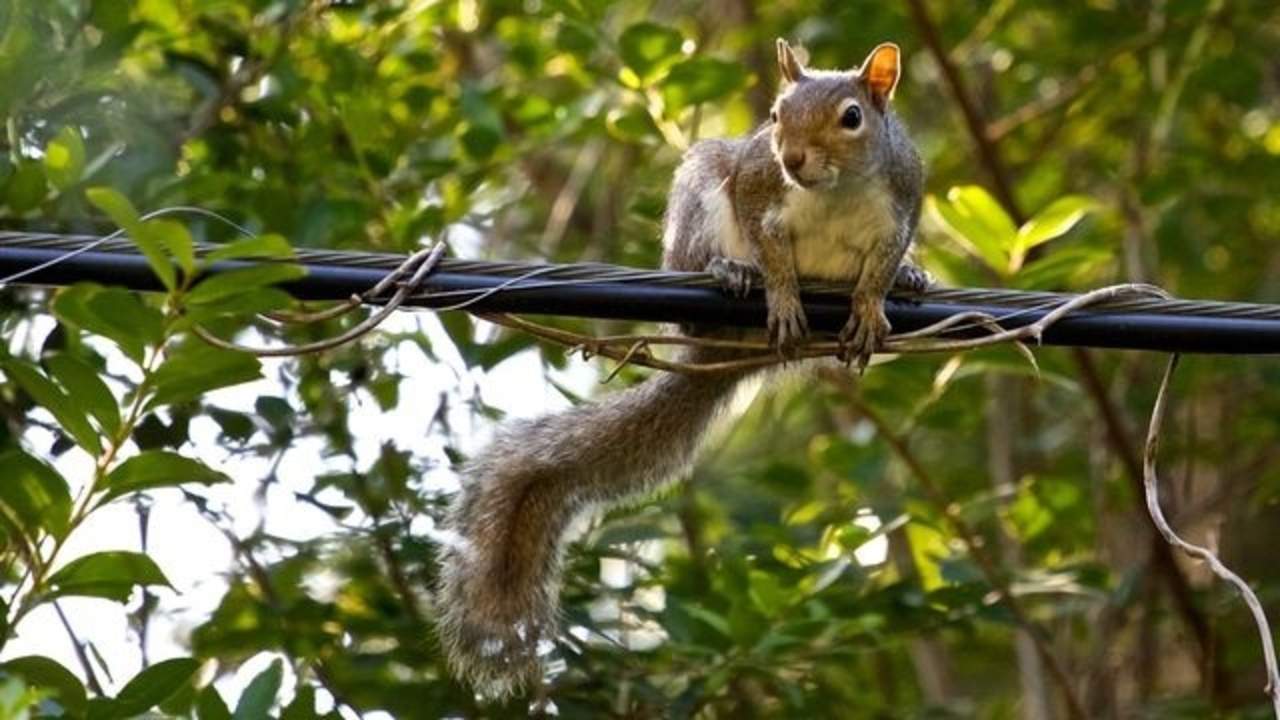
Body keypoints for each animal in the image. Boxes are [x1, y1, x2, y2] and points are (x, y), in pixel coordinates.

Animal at [435, 36, 926, 691]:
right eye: (775, 115)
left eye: (852, 117)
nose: (792, 158)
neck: (834, 190)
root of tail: (729, 350)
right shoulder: (756, 187)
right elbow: (771, 251)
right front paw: (780, 293)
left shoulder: (902, 203)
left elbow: (878, 267)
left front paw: (874, 300)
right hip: (699, 195)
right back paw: (729, 271)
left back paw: (913, 277)